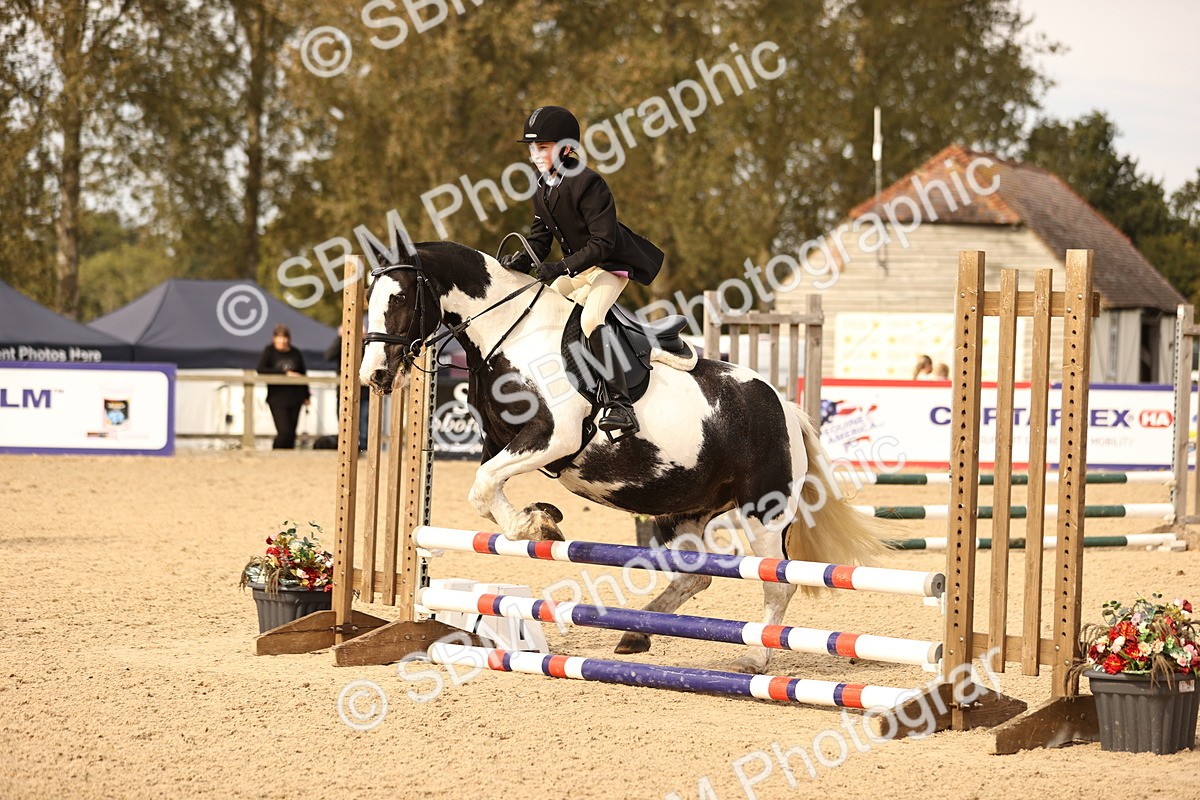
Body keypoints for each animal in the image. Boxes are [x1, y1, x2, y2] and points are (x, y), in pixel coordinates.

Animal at [360, 240, 886, 674]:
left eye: (400, 299)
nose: (374, 376)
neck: (511, 336)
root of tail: (783, 405)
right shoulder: (500, 442)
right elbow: (485, 487)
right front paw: (541, 517)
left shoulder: (553, 437)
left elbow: (486, 485)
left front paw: (535, 526)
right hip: (682, 510)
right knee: (694, 577)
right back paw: (635, 634)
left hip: (765, 511)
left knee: (777, 581)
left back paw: (755, 657)